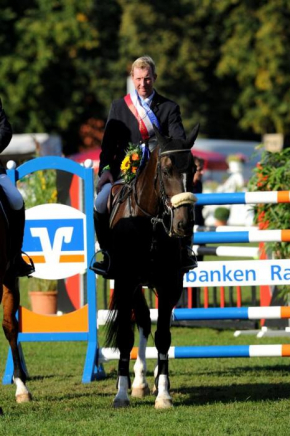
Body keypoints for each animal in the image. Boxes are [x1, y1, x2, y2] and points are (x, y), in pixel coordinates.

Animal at [102, 123, 199, 408]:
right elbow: (126, 337)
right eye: (166, 170)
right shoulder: (125, 282)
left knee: (150, 325)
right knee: (142, 322)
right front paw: (121, 394)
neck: (150, 224)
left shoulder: (170, 285)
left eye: (193, 169)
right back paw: (137, 383)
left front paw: (164, 393)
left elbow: (164, 337)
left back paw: (150, 380)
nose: (183, 224)